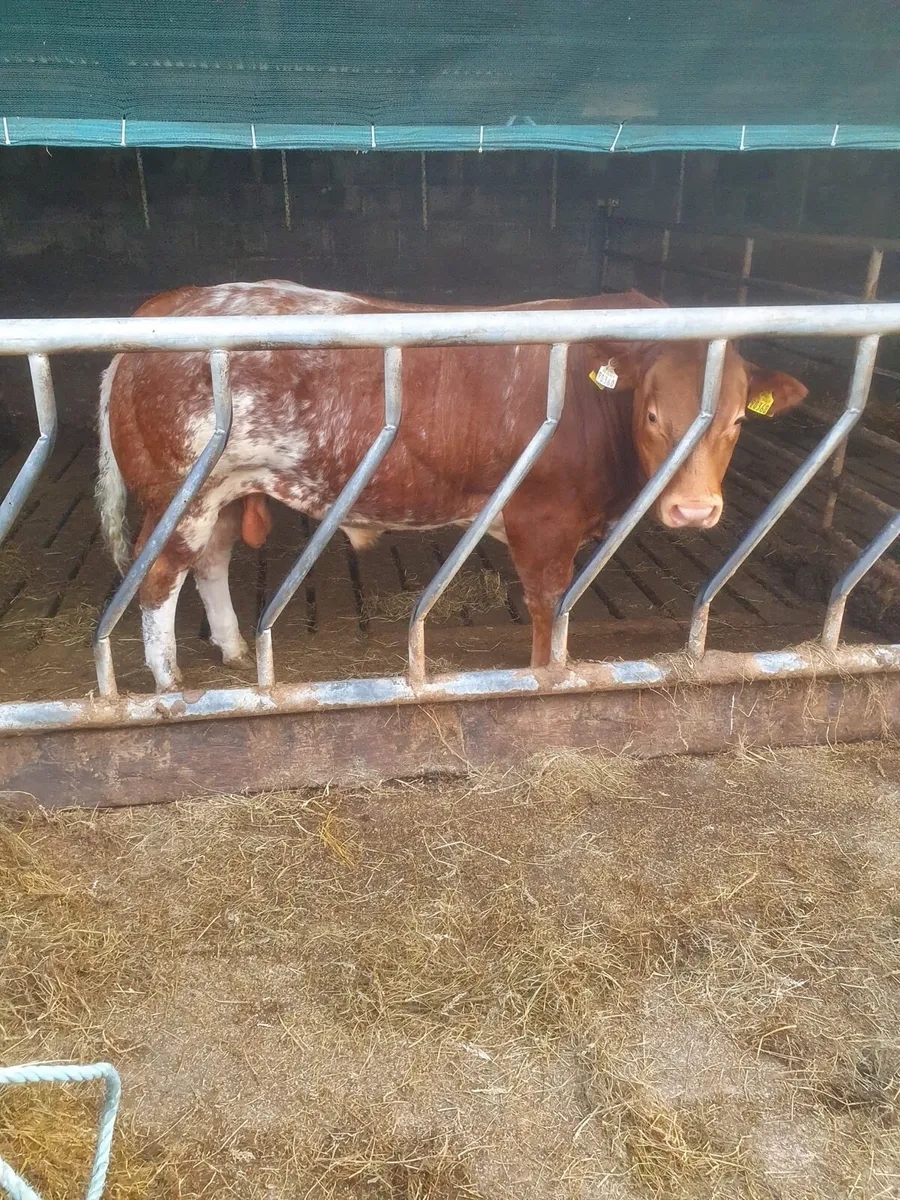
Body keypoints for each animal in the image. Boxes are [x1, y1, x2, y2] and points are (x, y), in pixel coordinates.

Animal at [97, 282, 807, 691]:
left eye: (738, 419)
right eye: (654, 415)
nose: (694, 509)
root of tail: (164, 307)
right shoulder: (543, 520)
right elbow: (549, 607)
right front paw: (544, 679)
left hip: (219, 491)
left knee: (209, 563)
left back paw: (235, 649)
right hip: (179, 492)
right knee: (156, 579)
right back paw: (169, 684)